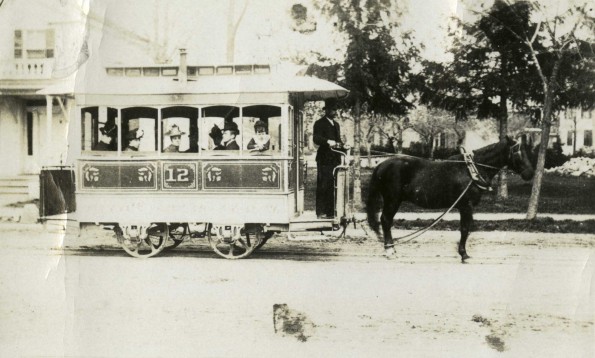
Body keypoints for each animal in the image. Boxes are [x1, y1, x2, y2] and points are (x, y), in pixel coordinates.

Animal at [368, 136, 536, 262]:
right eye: (518, 152)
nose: (530, 173)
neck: (471, 170)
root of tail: (381, 165)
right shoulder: (466, 206)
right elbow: (465, 229)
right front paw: (464, 254)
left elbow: (466, 229)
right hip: (392, 200)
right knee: (386, 220)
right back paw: (390, 250)